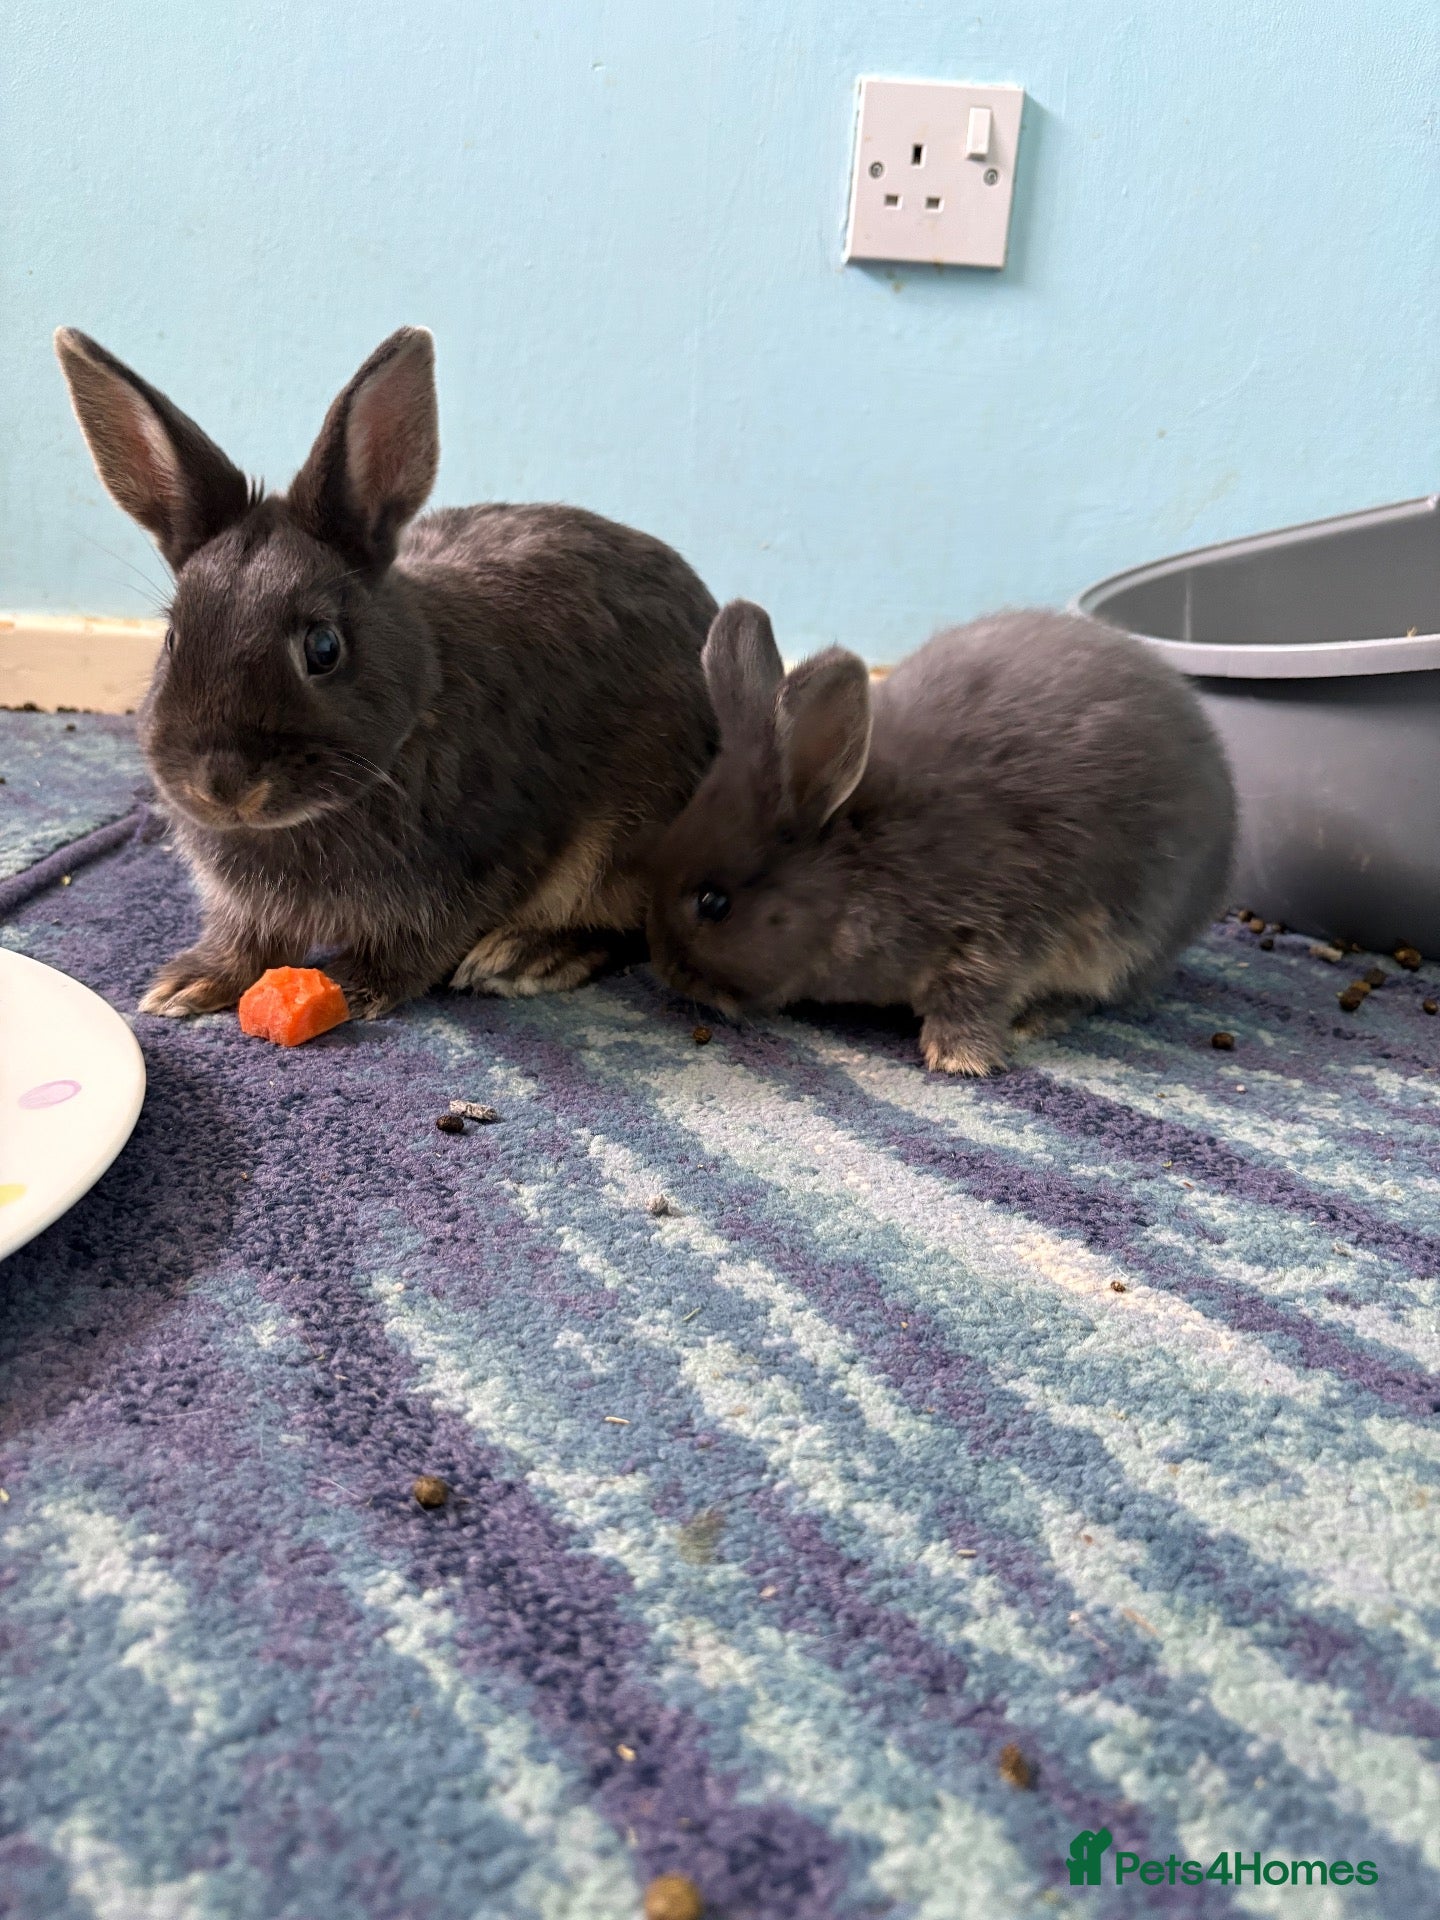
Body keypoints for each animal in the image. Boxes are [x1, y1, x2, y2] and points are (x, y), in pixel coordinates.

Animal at [55, 325, 719, 1019]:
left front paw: (350, 986)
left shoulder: (481, 865)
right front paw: (190, 983)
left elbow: (418, 945)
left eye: (323, 647)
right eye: (173, 637)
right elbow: (248, 939)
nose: (223, 786)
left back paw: (525, 955)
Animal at [647, 600, 1236, 1073]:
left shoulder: (996, 932)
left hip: (1132, 937)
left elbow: (975, 996)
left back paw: (1038, 1019)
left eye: (713, 903)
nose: (669, 974)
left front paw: (958, 1058)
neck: (860, 858)